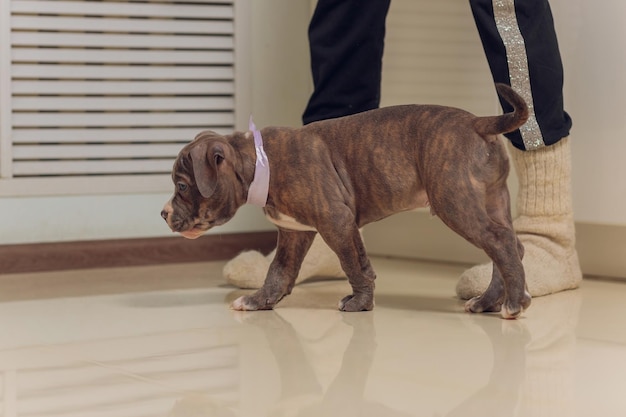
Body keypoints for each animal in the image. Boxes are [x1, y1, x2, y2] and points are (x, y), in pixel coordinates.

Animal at [160, 83, 528, 318]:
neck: (260, 162)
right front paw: (259, 301)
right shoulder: (295, 233)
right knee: (510, 245)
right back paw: (491, 301)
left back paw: (514, 303)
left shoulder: (336, 221)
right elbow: (279, 271)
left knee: (499, 242)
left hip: (455, 202)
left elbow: (354, 264)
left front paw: (359, 304)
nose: (162, 213)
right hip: (491, 201)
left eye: (182, 185)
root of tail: (478, 123)